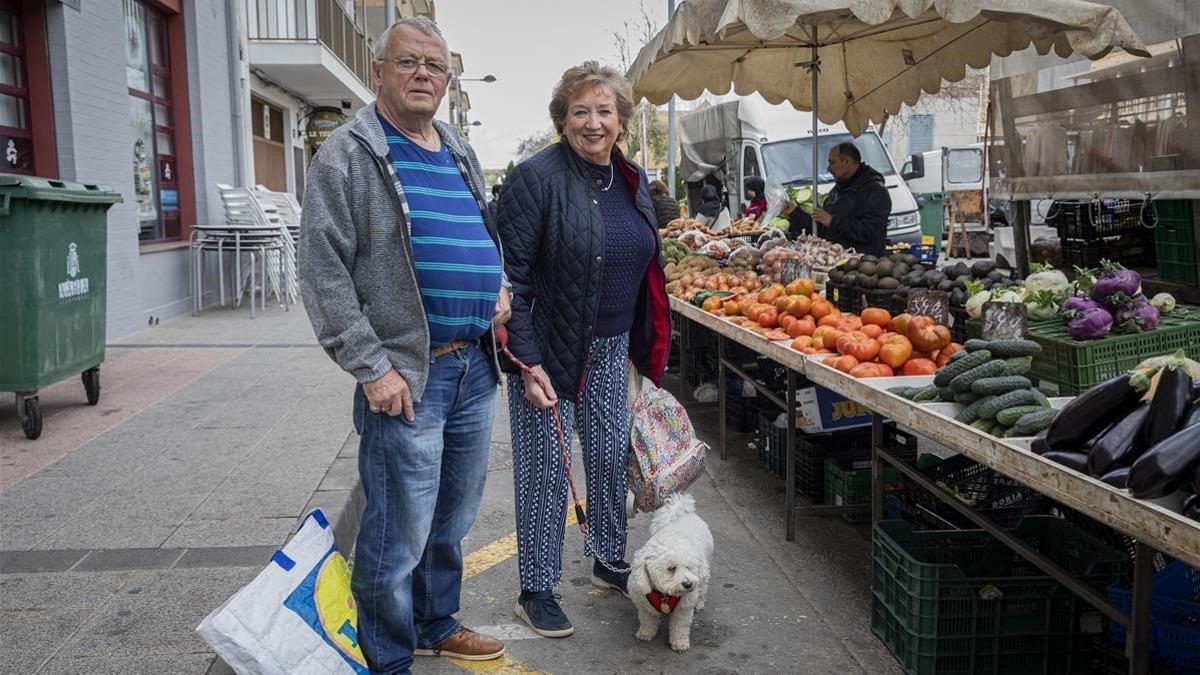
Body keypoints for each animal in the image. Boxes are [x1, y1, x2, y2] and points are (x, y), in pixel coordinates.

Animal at [628, 492, 710, 648]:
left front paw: (679, 643)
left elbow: (680, 626)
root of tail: (684, 513)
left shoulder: (683, 608)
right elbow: (648, 620)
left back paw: (699, 603)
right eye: (671, 568)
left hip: (704, 571)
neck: (664, 595)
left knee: (703, 588)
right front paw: (645, 633)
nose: (688, 584)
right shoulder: (644, 604)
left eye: (689, 567)